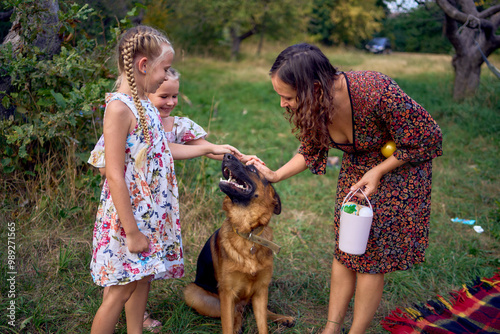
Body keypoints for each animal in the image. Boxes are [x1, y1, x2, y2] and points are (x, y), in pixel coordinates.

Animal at [184, 154, 294, 334]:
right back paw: (238, 324)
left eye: (252, 169)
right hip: (192, 293)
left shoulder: (261, 290)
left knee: (254, 310)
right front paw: (233, 326)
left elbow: (263, 325)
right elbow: (227, 325)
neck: (247, 233)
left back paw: (283, 318)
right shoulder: (227, 293)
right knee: (236, 311)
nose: (227, 155)